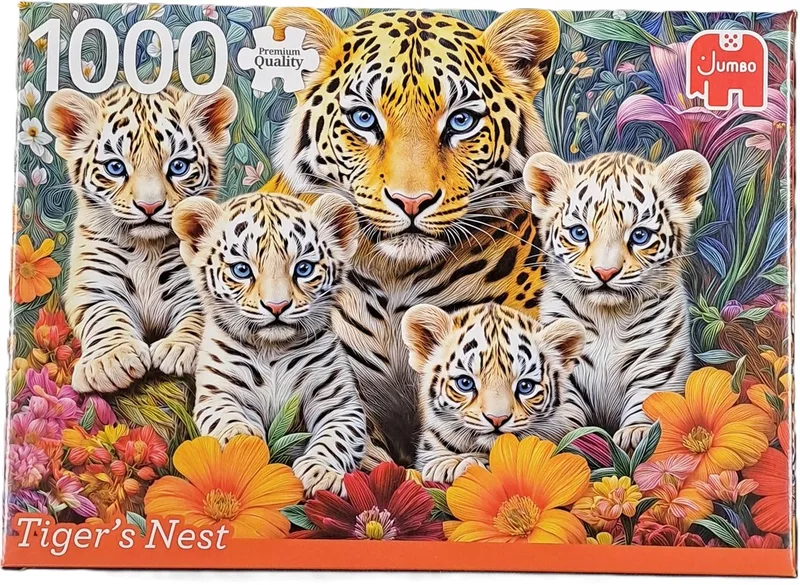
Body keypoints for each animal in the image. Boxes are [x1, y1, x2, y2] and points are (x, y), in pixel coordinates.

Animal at [43, 84, 237, 394]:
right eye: (115, 168)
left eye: (178, 166)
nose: (150, 206)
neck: (146, 249)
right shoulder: (94, 285)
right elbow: (104, 316)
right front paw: (111, 361)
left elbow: (201, 317)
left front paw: (180, 349)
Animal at [172, 191, 368, 496]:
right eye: (241, 270)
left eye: (304, 268)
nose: (277, 306)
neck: (272, 350)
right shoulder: (218, 391)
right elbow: (225, 416)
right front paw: (241, 440)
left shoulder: (339, 402)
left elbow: (337, 438)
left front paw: (320, 473)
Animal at [524, 150, 711, 450]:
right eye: (579, 233)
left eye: (640, 236)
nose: (605, 272)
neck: (609, 318)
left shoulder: (657, 364)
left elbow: (649, 400)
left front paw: (636, 435)